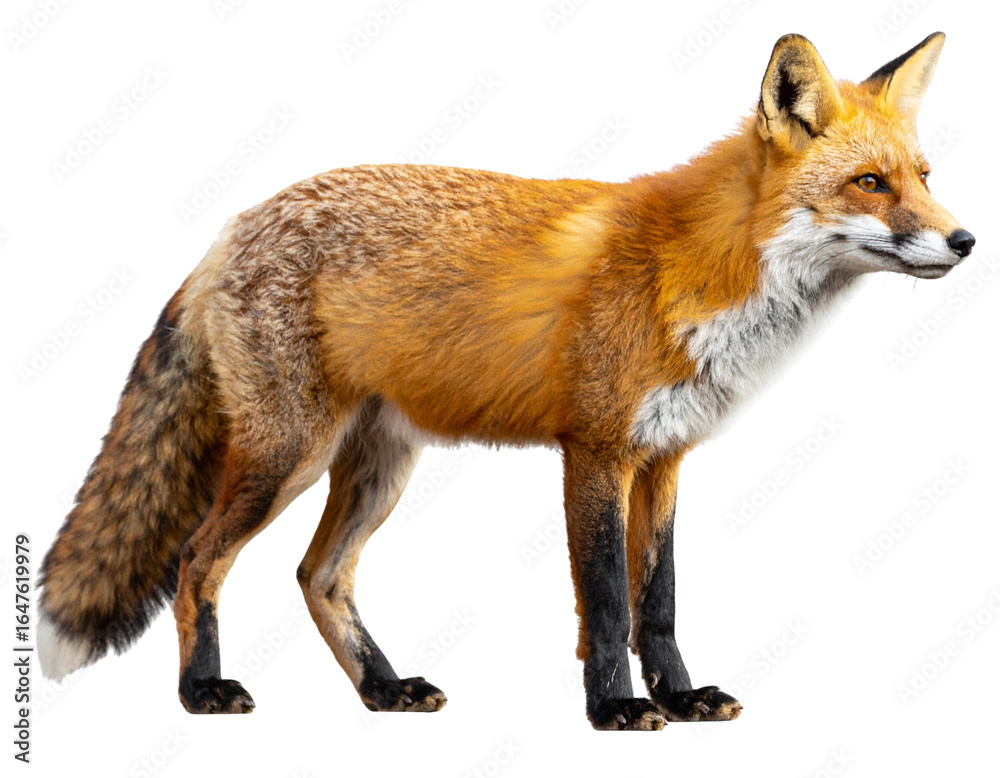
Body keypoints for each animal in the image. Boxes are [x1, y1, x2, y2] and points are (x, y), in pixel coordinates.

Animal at [38, 32, 974, 730]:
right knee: (198, 560)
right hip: (286, 458)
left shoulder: (664, 457)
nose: (965, 241)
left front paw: (680, 698)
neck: (701, 272)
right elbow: (607, 602)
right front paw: (615, 710)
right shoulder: (594, 450)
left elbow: (660, 599)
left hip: (378, 469)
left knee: (318, 576)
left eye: (925, 178)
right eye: (869, 183)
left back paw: (383, 689)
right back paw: (202, 691)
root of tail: (229, 229)